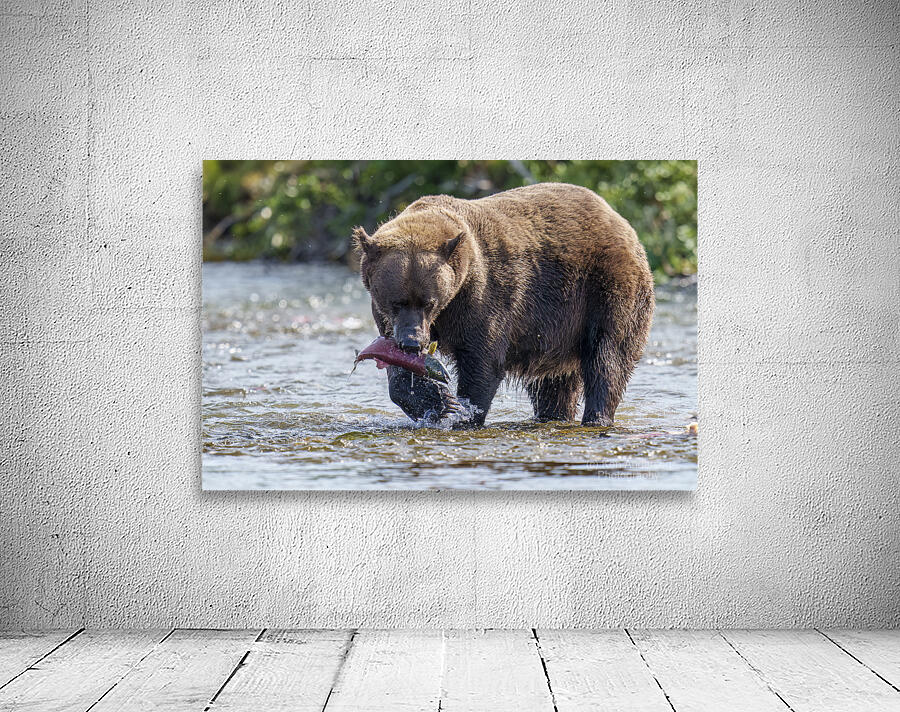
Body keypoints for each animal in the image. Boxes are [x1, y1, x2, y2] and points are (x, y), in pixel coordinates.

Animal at [352, 182, 655, 427]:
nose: (412, 342)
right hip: (558, 328)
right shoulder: (388, 320)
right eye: (396, 302)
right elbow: (397, 366)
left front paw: (463, 412)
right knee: (555, 384)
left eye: (429, 302)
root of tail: (621, 221)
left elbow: (482, 360)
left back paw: (596, 418)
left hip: (606, 290)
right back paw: (552, 415)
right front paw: (438, 402)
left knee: (607, 358)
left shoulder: (484, 298)